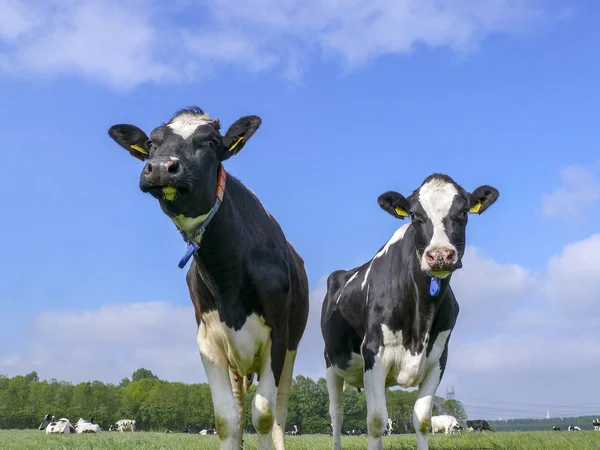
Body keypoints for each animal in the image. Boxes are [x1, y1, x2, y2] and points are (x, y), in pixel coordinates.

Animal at [106, 106, 310, 450]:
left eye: (211, 142)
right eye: (151, 143)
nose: (161, 168)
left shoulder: (278, 336)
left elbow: (264, 415)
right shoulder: (208, 340)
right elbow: (226, 419)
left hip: (291, 347)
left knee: (279, 412)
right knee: (240, 407)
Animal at [322, 173, 500, 450]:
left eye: (463, 212)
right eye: (415, 215)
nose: (440, 255)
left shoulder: (437, 360)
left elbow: (422, 420)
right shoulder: (374, 353)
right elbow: (375, 421)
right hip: (331, 362)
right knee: (337, 415)